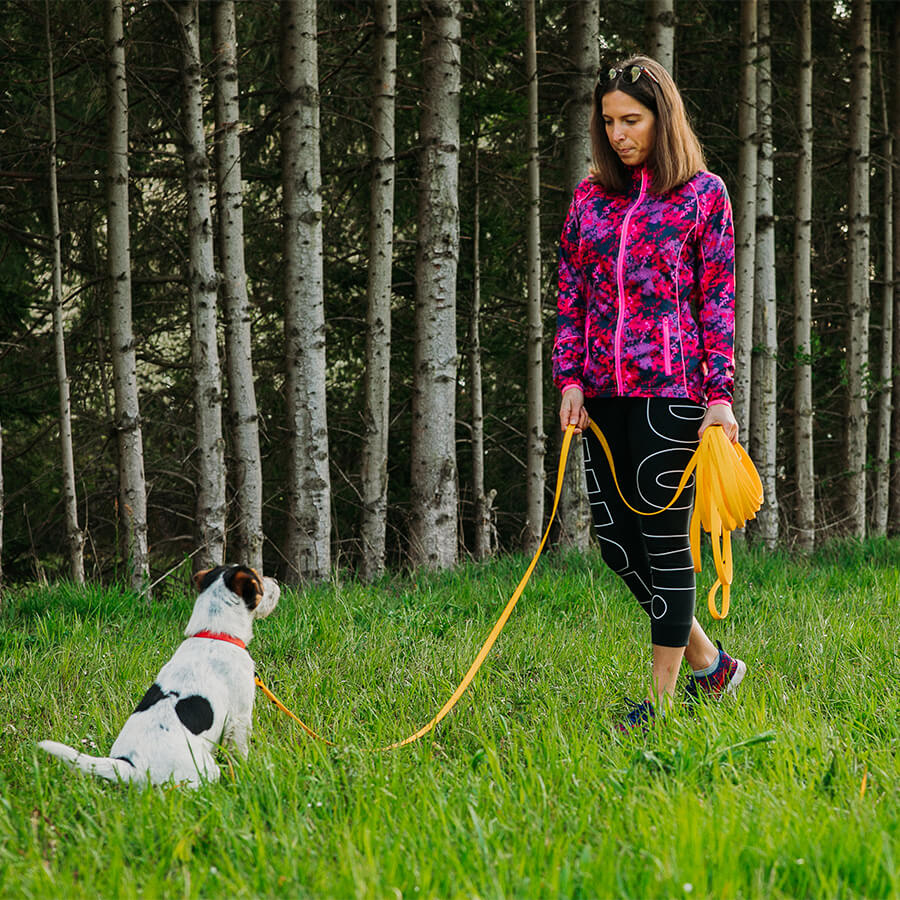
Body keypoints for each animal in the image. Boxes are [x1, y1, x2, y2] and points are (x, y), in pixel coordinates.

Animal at [38, 568, 278, 788]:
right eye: (258, 580)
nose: (276, 580)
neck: (214, 634)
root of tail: (130, 766)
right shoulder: (240, 717)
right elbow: (240, 753)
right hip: (206, 770)